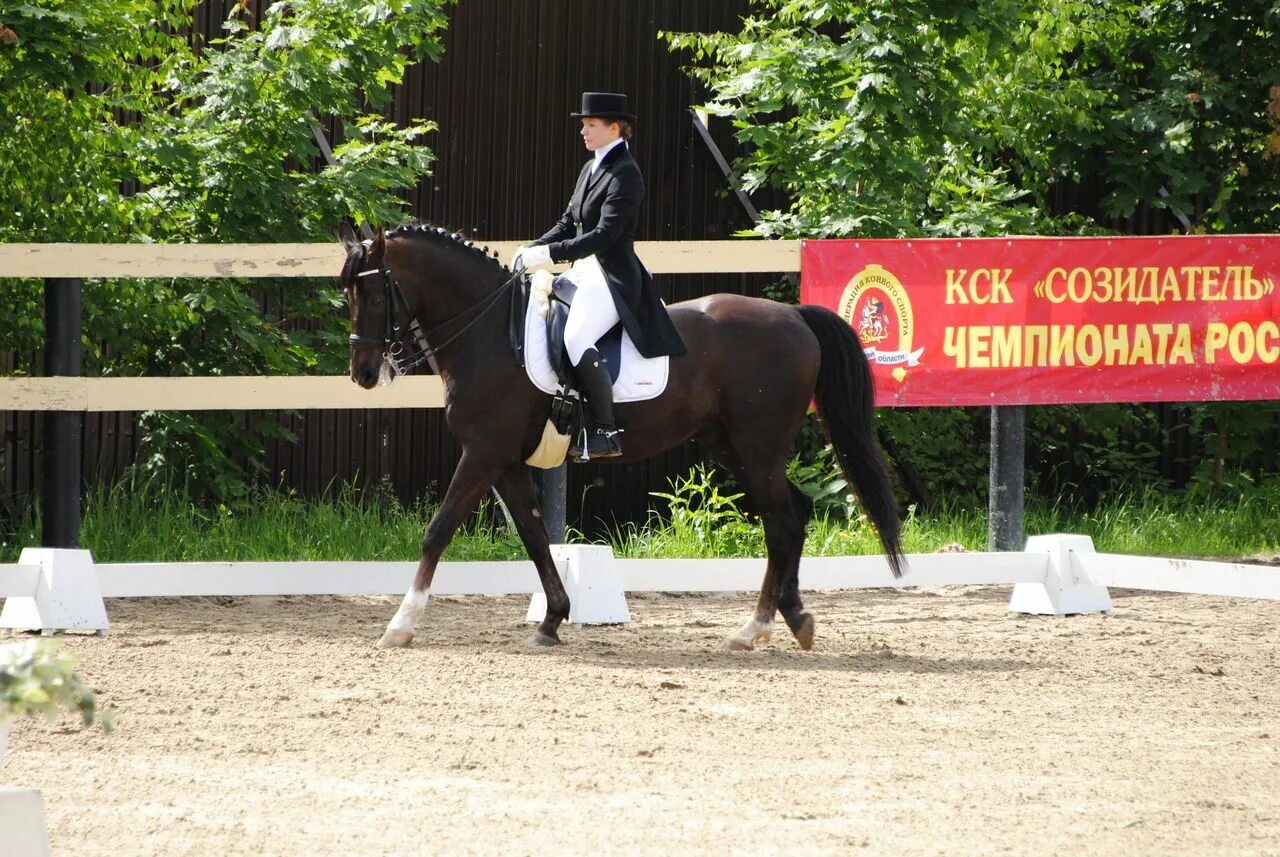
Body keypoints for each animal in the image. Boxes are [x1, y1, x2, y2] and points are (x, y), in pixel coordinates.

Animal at [335, 221, 906, 652]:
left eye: (373, 292)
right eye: (347, 294)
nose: (363, 373)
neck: (491, 333)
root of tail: (792, 314)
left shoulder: (482, 455)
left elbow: (437, 531)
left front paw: (400, 625)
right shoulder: (507, 462)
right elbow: (534, 537)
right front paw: (552, 621)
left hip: (757, 447)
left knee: (782, 522)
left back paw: (754, 628)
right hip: (732, 447)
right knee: (792, 515)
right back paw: (791, 618)